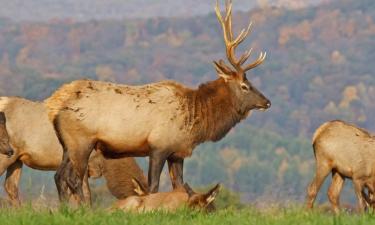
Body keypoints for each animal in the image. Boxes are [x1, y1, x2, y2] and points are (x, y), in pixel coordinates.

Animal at [45, 0, 272, 204]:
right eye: (244, 86)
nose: (267, 102)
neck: (194, 121)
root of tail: (54, 105)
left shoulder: (177, 152)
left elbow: (179, 186)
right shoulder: (159, 146)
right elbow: (153, 186)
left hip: (67, 145)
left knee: (59, 176)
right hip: (82, 142)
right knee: (73, 178)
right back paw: (83, 209)